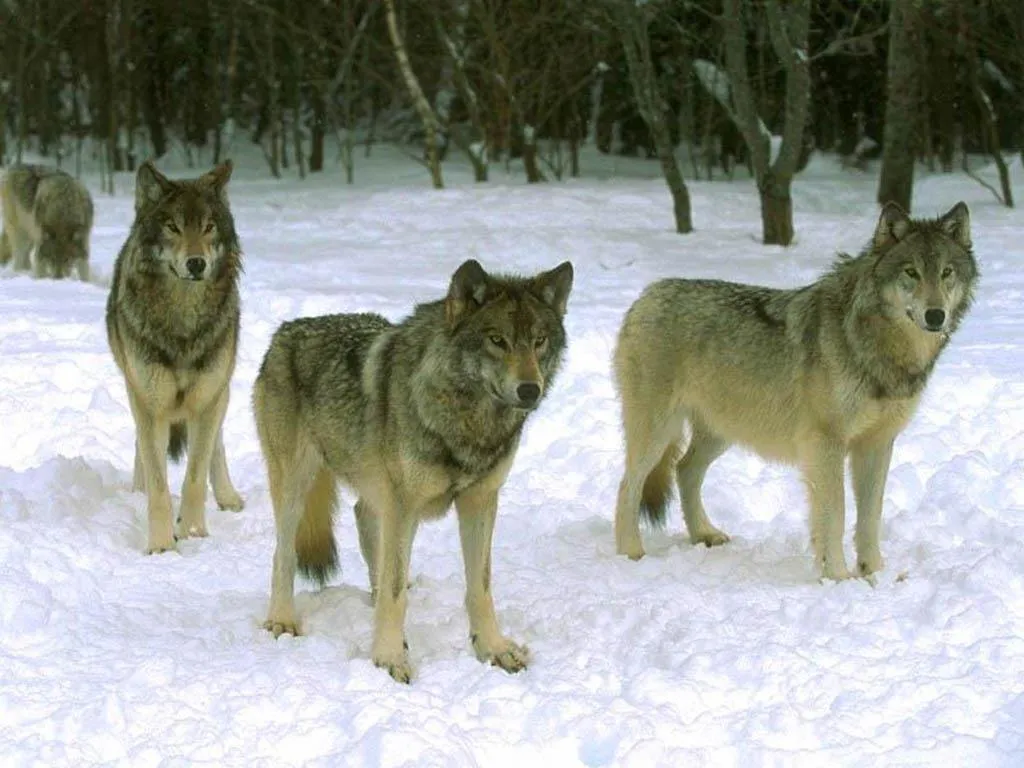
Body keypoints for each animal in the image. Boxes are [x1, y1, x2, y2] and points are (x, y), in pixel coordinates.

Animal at [105, 159, 245, 557]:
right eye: (173, 227)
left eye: (209, 227)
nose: (196, 263)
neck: (183, 321)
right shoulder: (150, 403)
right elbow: (159, 484)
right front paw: (162, 546)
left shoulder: (207, 399)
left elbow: (196, 475)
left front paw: (195, 533)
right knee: (143, 450)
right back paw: (136, 490)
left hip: (220, 390)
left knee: (216, 445)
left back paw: (228, 497)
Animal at [253, 260, 577, 684]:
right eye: (497, 340)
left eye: (539, 341)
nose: (530, 390)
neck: (466, 421)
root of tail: (285, 330)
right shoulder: (404, 506)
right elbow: (396, 595)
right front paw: (389, 658)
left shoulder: (479, 501)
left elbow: (480, 587)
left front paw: (493, 649)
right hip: (296, 486)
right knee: (284, 552)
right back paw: (282, 620)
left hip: (374, 491)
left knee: (365, 524)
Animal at [610, 201, 978, 581]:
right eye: (911, 272)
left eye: (946, 272)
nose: (935, 315)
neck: (876, 345)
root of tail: (646, 295)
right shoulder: (825, 443)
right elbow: (836, 514)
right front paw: (838, 577)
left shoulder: (877, 444)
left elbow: (870, 517)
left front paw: (875, 574)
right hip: (658, 433)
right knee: (627, 486)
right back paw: (632, 553)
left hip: (721, 432)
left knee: (684, 470)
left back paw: (704, 534)